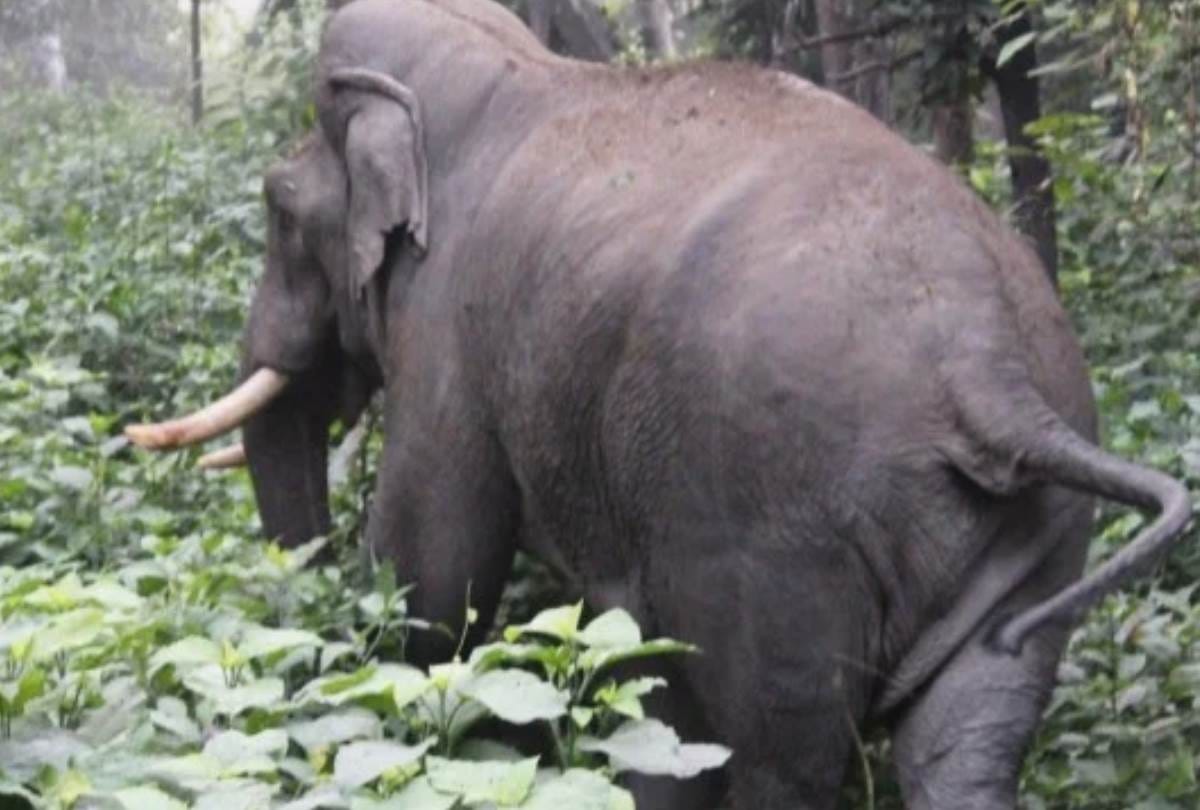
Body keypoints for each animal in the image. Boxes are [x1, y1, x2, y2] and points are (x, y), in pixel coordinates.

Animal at [126, 0, 1193, 807]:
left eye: (276, 207)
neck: (493, 60)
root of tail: (991, 377)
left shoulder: (449, 325)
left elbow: (434, 571)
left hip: (779, 532)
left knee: (778, 755)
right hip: (1038, 540)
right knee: (965, 742)